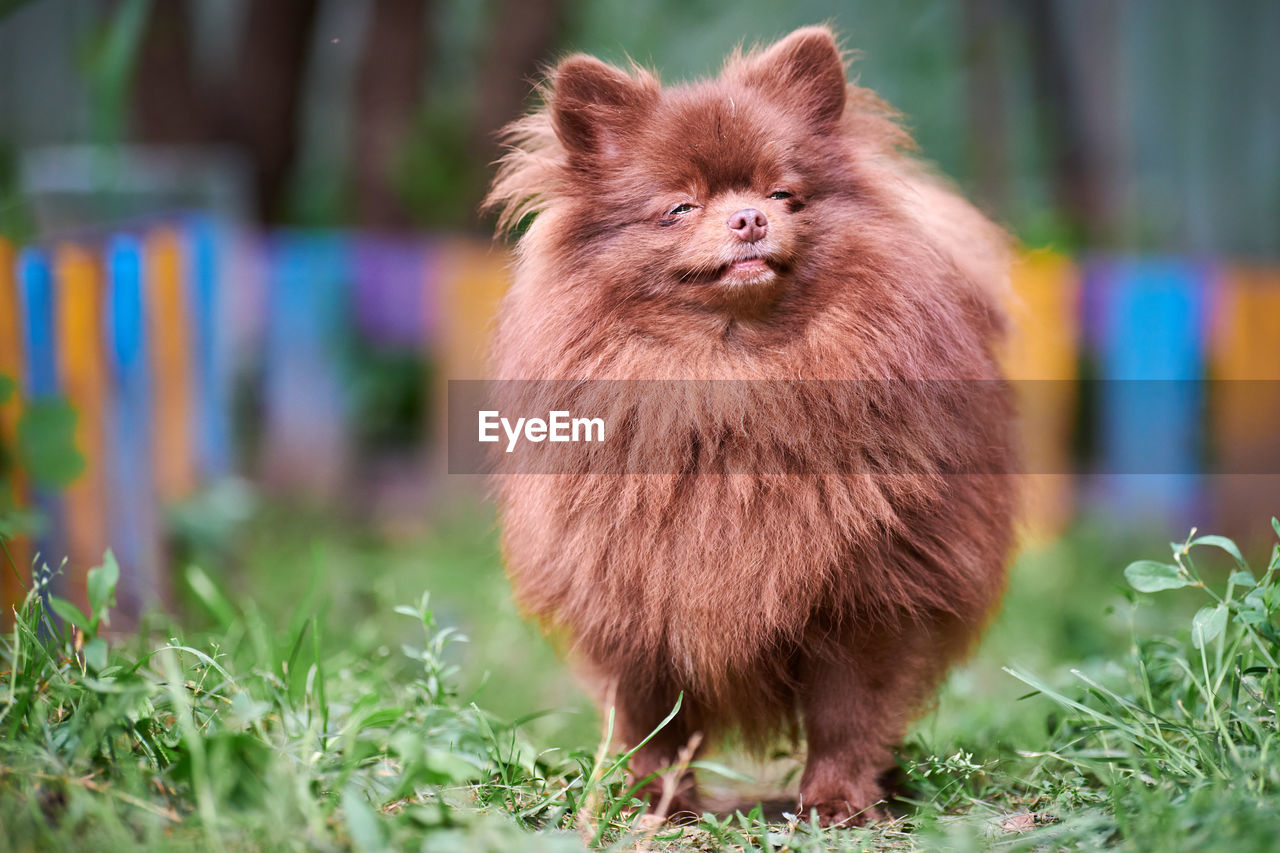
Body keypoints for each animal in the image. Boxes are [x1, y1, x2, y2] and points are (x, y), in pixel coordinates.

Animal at [483, 28, 1013, 824]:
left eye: (782, 194)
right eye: (680, 207)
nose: (749, 218)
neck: (732, 376)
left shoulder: (867, 598)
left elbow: (847, 711)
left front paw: (837, 802)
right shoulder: (631, 594)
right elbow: (651, 720)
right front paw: (655, 806)